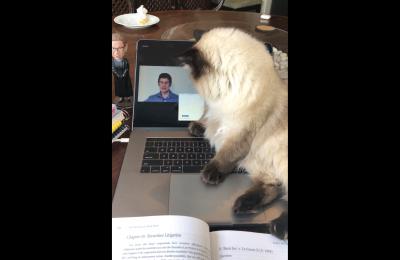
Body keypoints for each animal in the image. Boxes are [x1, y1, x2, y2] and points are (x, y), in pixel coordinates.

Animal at [178, 27, 288, 240]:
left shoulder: (240, 133)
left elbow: (224, 155)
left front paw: (209, 173)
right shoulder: (218, 115)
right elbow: (209, 124)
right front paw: (197, 127)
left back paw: (278, 228)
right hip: (258, 165)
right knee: (274, 187)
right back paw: (243, 205)